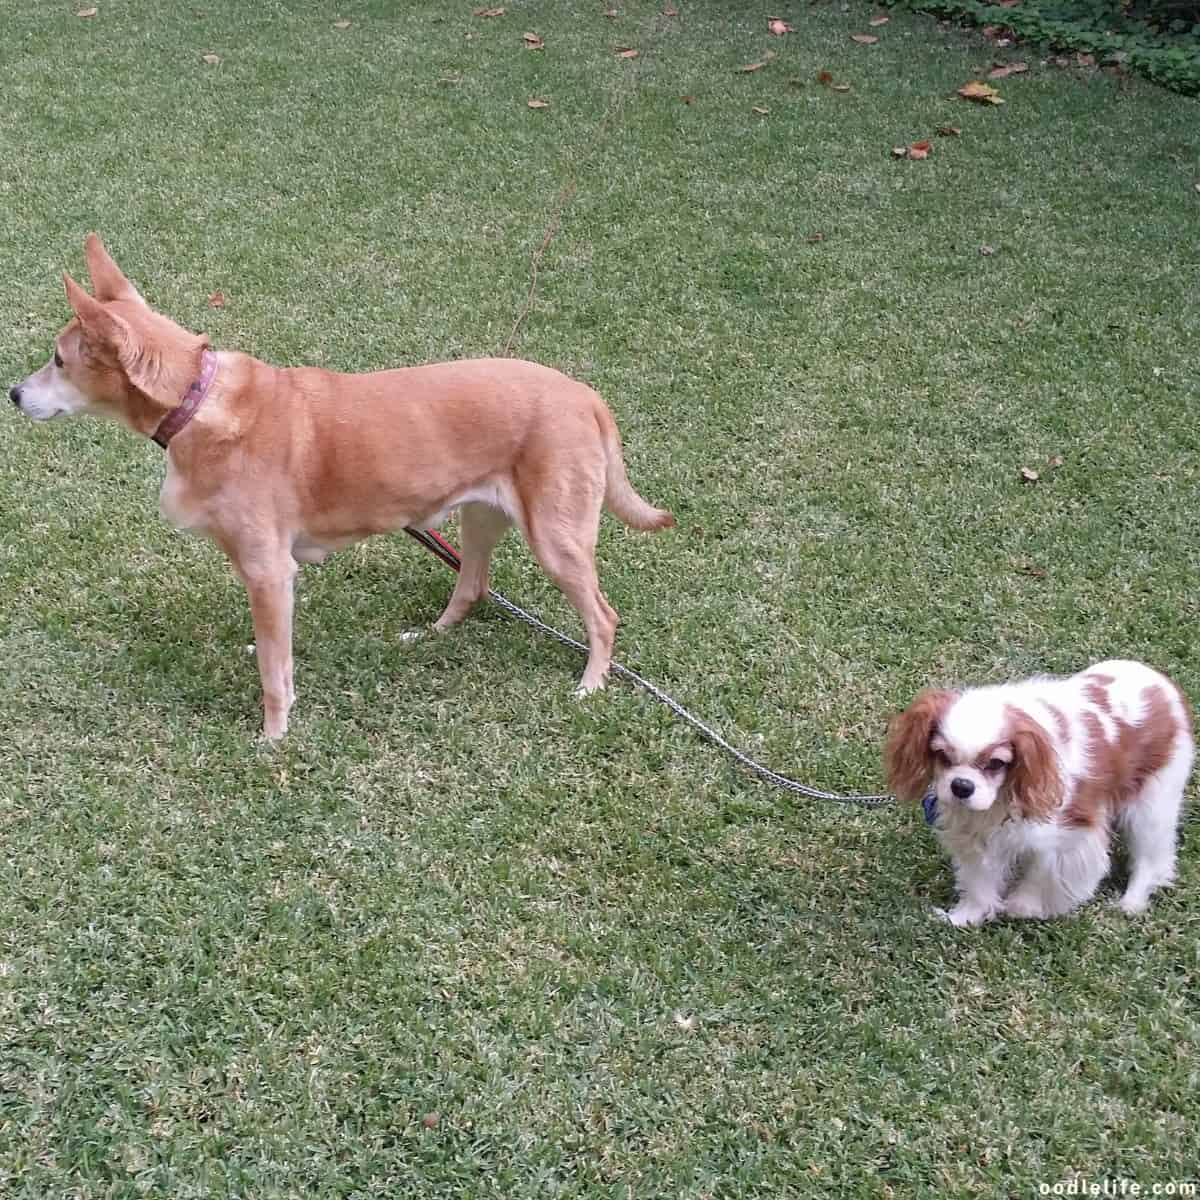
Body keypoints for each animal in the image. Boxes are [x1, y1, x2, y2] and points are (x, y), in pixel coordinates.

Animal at [9, 232, 676, 734]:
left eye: (59, 361)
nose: (13, 393)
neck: (195, 400)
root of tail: (584, 394)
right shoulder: (272, 577)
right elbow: (275, 651)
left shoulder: (268, 570)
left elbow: (274, 676)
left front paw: (273, 737)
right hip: (480, 518)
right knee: (473, 584)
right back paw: (429, 634)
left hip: (557, 538)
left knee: (603, 615)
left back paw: (591, 684)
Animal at [883, 662, 1190, 921]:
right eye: (942, 756)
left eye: (996, 763)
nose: (961, 786)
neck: (1002, 797)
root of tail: (1162, 684)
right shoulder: (976, 833)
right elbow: (979, 880)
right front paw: (966, 917)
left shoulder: (1072, 835)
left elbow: (1044, 875)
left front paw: (1023, 907)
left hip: (1151, 805)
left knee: (1151, 857)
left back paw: (1132, 901)